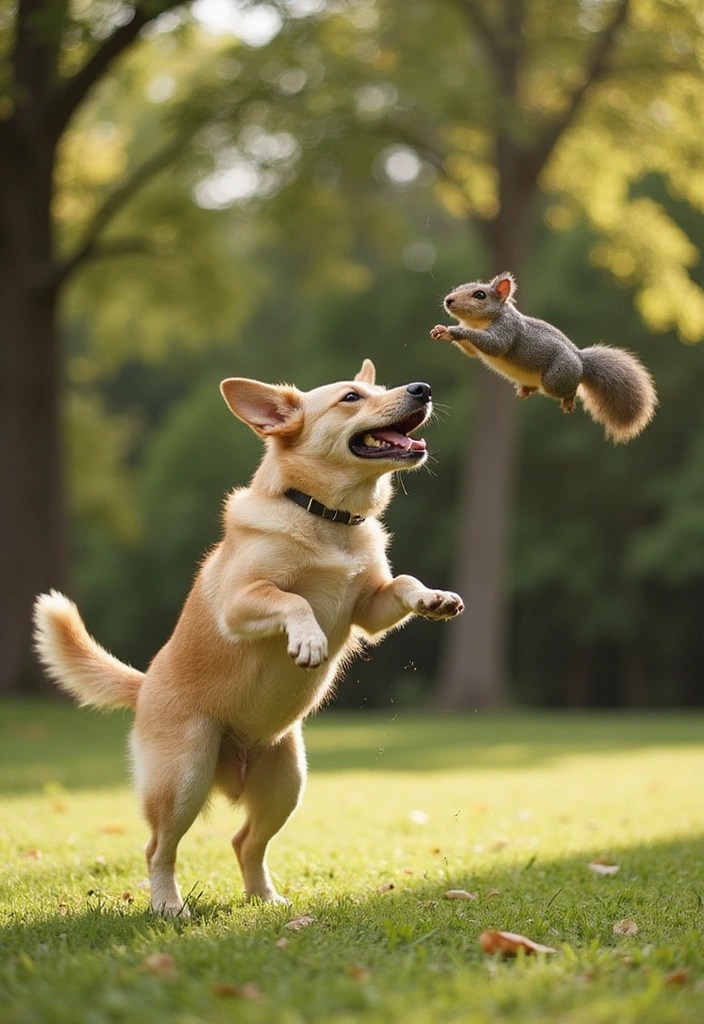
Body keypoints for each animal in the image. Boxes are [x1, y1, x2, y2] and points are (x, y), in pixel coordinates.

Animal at [430, 272, 657, 443]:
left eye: (479, 295)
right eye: (457, 288)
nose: (448, 300)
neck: (478, 323)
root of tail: (581, 362)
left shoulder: (507, 329)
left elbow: (495, 345)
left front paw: (454, 330)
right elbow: (472, 351)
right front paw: (445, 331)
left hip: (556, 378)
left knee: (568, 389)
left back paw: (568, 401)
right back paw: (524, 390)